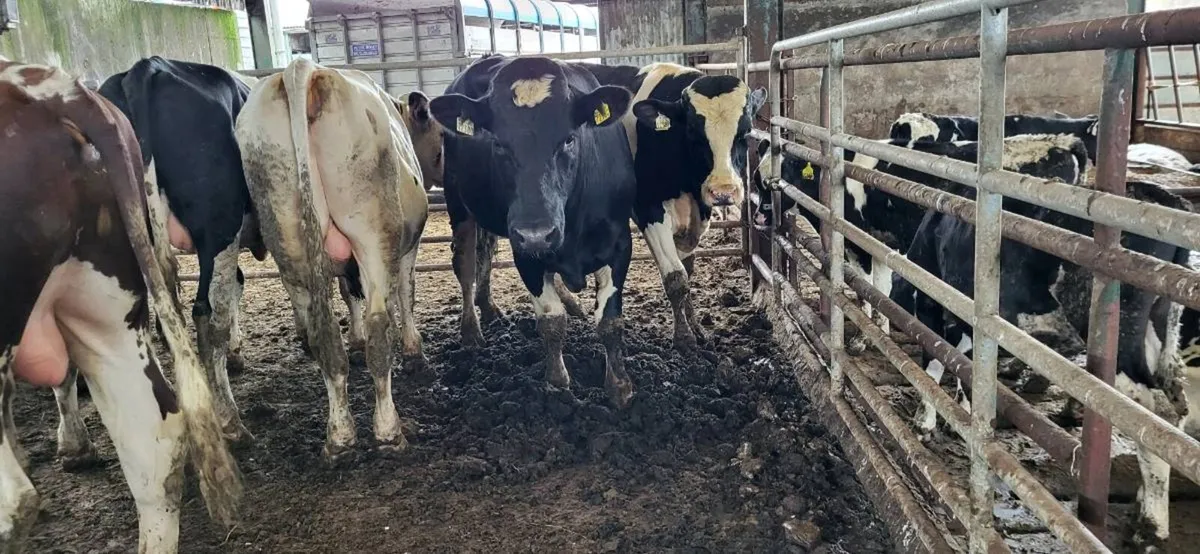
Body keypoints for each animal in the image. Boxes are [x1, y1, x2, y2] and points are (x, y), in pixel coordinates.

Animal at [235, 58, 430, 462]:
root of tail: (302, 70)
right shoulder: (407, 247)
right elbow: (406, 293)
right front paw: (414, 349)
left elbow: (347, 294)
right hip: (371, 233)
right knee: (378, 328)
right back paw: (388, 431)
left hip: (289, 241)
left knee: (324, 337)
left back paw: (339, 436)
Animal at [430, 56, 638, 407]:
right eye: (498, 143)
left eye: (569, 138)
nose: (537, 232)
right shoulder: (525, 252)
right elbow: (551, 322)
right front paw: (557, 384)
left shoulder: (620, 244)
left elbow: (610, 322)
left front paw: (620, 386)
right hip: (458, 204)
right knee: (466, 263)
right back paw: (471, 329)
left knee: (487, 252)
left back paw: (495, 307)